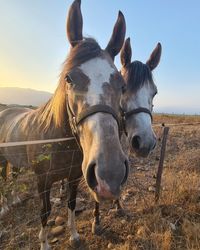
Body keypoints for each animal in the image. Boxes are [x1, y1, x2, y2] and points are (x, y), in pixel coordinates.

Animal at [0, 0, 128, 249]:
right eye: (69, 78)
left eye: (122, 84)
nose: (110, 174)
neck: (58, 141)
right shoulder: (43, 181)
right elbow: (45, 211)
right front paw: (44, 243)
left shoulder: (74, 177)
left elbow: (71, 203)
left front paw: (74, 235)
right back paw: (5, 206)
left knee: (13, 177)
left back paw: (15, 200)